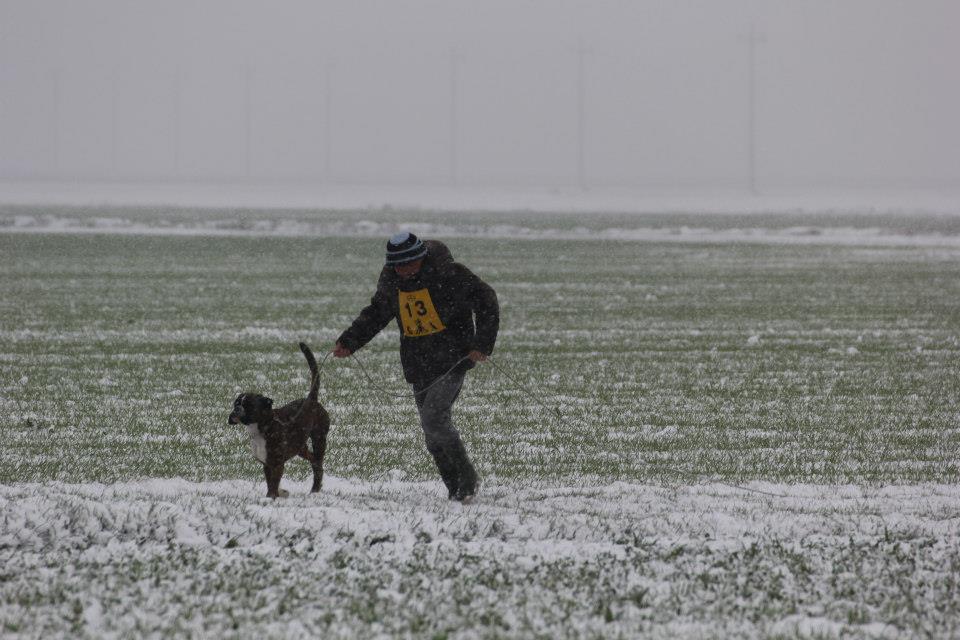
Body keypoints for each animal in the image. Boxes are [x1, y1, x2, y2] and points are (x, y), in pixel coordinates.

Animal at [228, 342, 330, 498]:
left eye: (249, 405)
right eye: (236, 403)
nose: (237, 409)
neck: (262, 428)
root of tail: (311, 400)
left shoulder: (276, 464)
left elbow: (274, 484)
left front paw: (272, 498)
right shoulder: (267, 464)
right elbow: (270, 483)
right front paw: (274, 496)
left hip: (319, 439)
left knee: (318, 465)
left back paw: (315, 490)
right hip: (300, 447)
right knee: (314, 460)